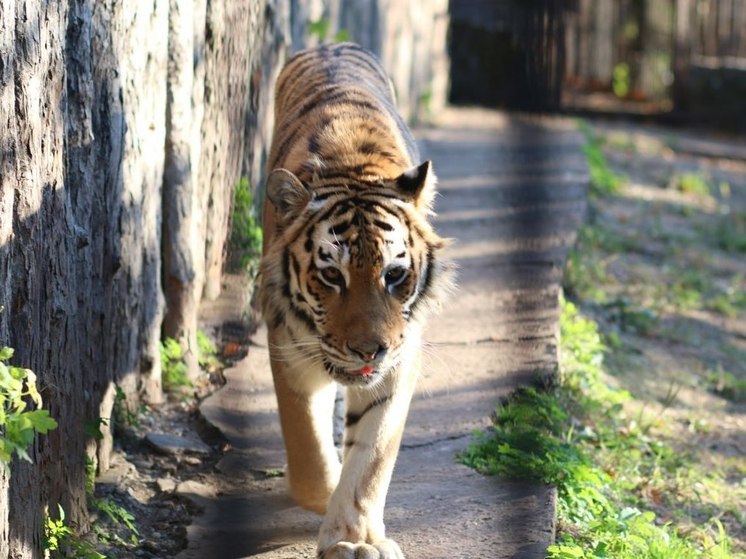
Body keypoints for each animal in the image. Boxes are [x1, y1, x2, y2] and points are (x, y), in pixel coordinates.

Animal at [258, 43, 450, 559]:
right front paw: (326, 503)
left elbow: (371, 458)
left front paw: (355, 538)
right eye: (331, 275)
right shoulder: (289, 347)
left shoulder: (398, 362)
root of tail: (330, 45)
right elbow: (307, 448)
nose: (369, 350)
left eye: (394, 275)